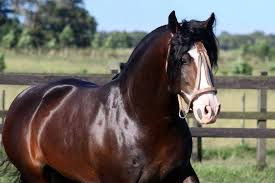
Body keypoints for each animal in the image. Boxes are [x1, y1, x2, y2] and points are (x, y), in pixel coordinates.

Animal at [1, 10, 220, 182]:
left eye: (210, 57)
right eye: (183, 59)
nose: (209, 109)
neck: (141, 118)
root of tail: (23, 98)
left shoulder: (183, 172)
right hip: (36, 176)